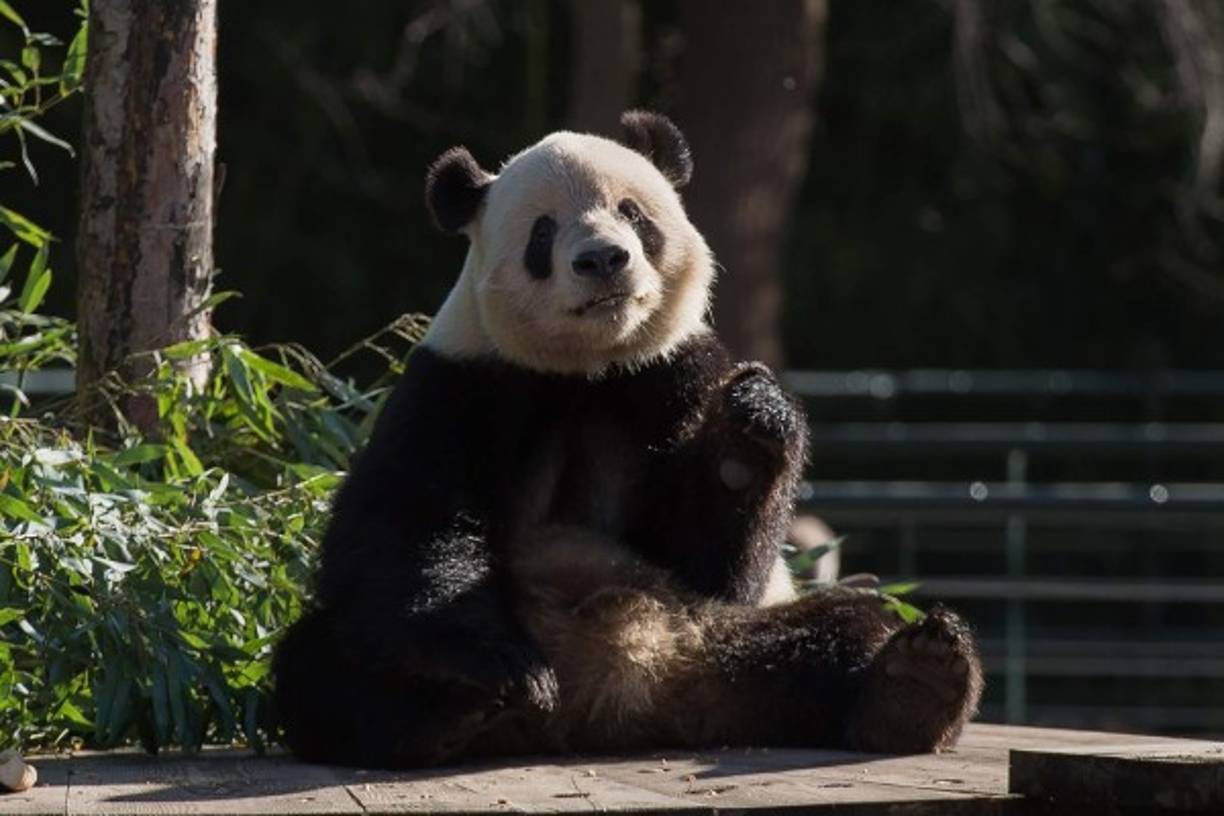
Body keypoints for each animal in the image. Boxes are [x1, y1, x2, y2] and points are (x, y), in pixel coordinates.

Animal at [273, 111, 982, 768]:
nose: (603, 258)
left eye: (632, 213)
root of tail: (623, 700)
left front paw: (749, 434)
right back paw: (455, 709)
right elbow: (412, 532)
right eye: (543, 231)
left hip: (725, 632)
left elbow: (714, 563)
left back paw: (914, 684)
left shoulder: (676, 371)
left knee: (849, 626)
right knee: (321, 670)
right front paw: (506, 667)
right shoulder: (459, 384)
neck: (588, 365)